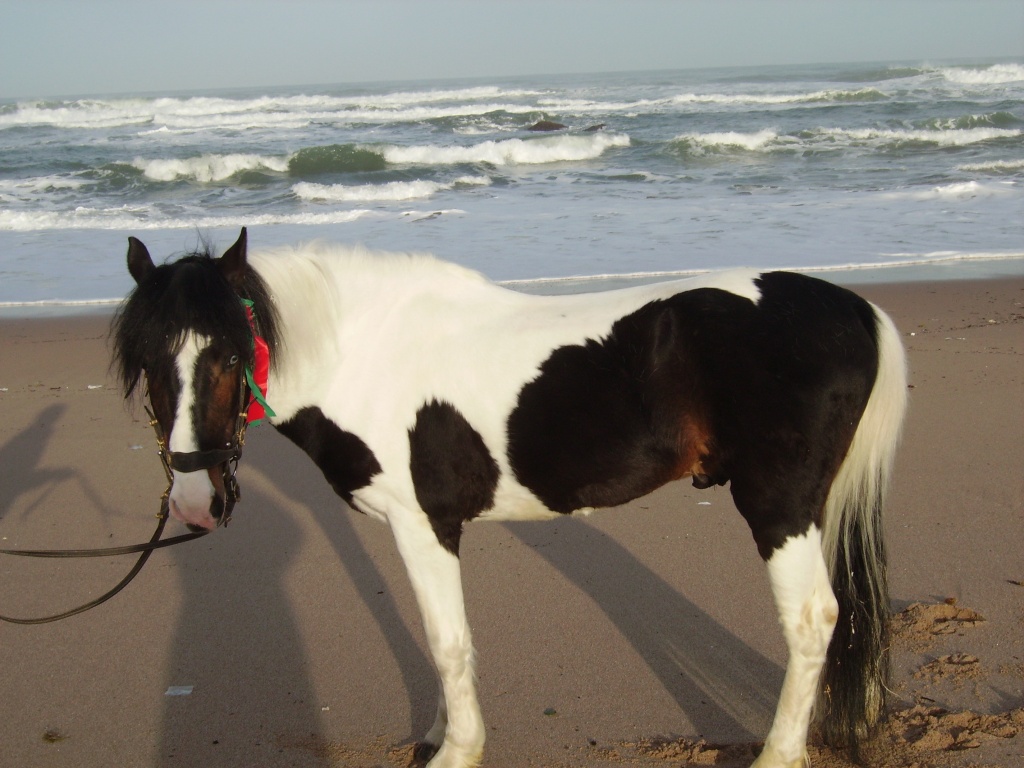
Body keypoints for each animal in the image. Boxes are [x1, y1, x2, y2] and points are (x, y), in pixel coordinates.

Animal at [112, 228, 906, 768]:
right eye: (147, 361)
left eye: (229, 355)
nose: (193, 500)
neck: (365, 352)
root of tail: (855, 309)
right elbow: (441, 638)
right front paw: (438, 733)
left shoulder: (423, 524)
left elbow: (446, 638)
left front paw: (457, 749)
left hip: (778, 506)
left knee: (813, 619)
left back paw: (777, 753)